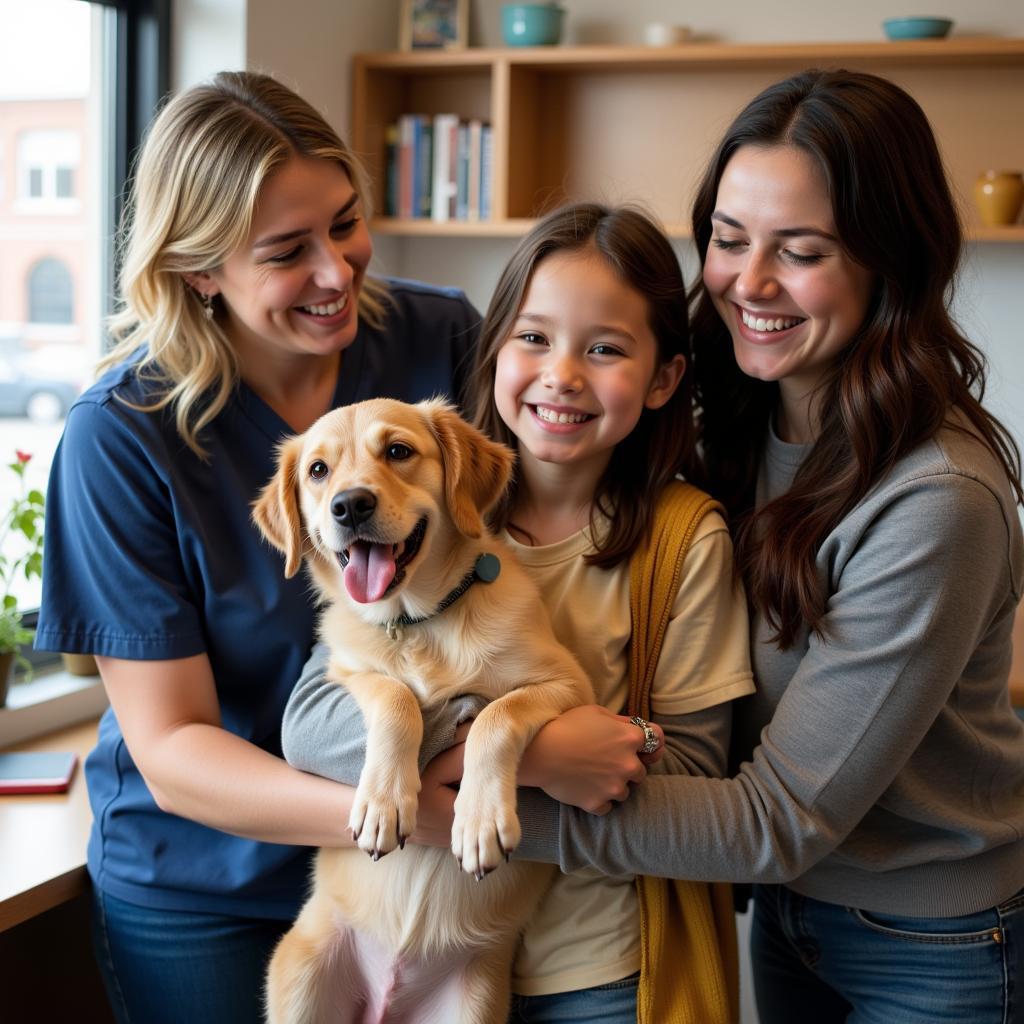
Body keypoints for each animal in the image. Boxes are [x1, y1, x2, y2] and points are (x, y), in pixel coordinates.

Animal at [250, 397, 598, 1024]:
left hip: (476, 1001)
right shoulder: (344, 674)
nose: (349, 504)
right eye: (318, 471)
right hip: (302, 976)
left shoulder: (570, 685)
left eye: (398, 451)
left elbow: (495, 716)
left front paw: (480, 819)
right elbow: (396, 699)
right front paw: (383, 804)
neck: (417, 622)